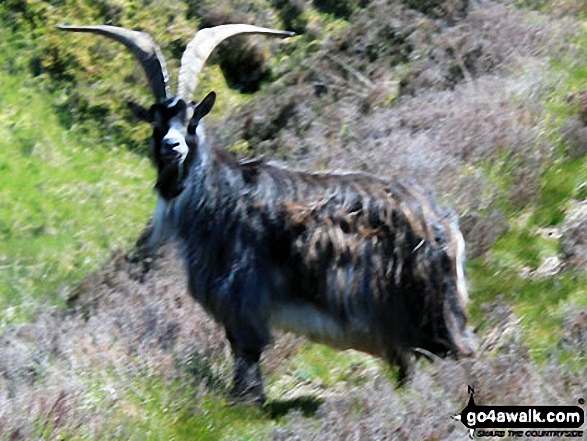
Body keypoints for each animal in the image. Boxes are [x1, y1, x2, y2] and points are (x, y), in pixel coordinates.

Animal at [58, 23, 478, 402]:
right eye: (157, 121)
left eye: (192, 120)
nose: (172, 146)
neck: (219, 196)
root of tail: (443, 225)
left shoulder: (241, 297)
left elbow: (246, 352)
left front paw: (244, 402)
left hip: (427, 311)